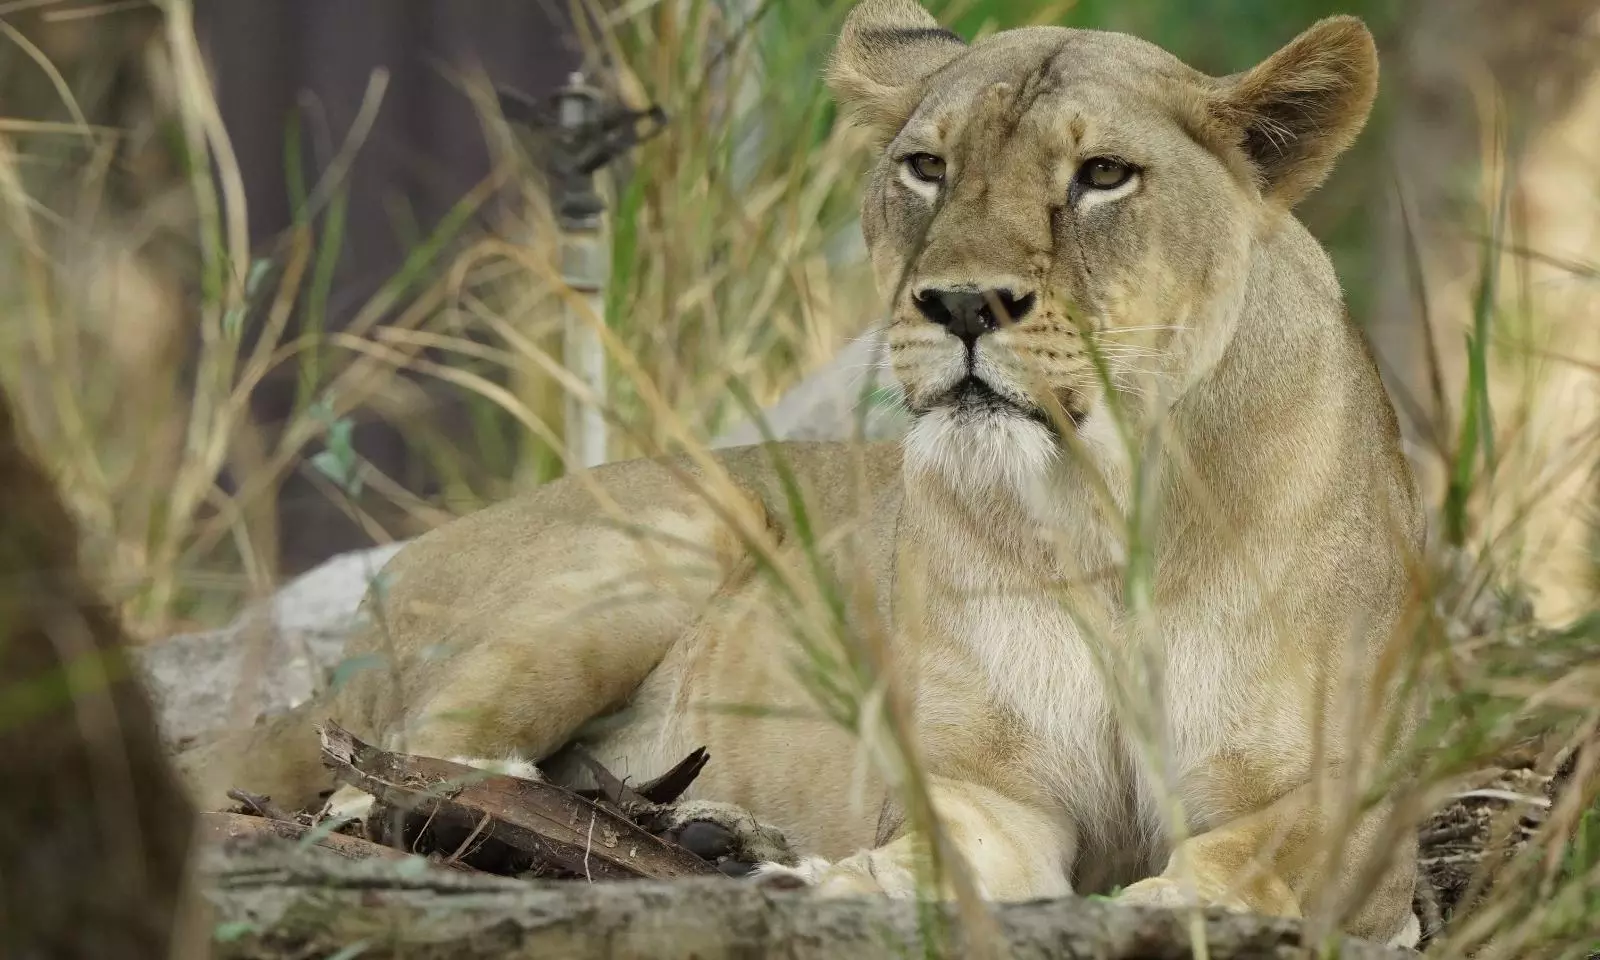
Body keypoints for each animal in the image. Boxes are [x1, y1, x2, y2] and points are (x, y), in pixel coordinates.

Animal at [178, 0, 1426, 947]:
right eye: (925, 168)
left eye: (1104, 176)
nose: (961, 304)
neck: (1100, 509)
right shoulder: (982, 787)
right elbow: (947, 854)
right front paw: (847, 883)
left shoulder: (1355, 810)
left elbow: (1255, 856)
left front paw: (1176, 902)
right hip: (662, 540)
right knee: (393, 777)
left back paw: (707, 832)